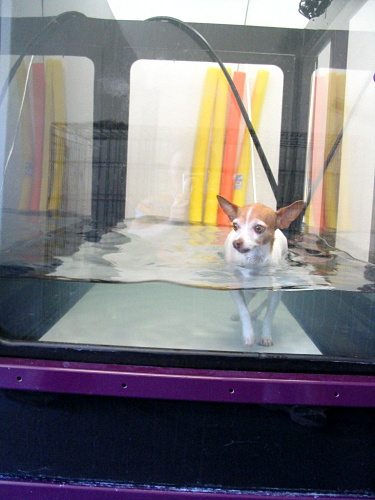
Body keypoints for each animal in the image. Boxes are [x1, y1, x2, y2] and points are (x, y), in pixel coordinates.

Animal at [217, 195, 306, 348]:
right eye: (235, 226)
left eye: (258, 228)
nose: (237, 243)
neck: (255, 260)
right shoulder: (235, 286)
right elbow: (243, 310)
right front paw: (248, 334)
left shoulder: (276, 290)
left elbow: (269, 315)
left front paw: (265, 336)